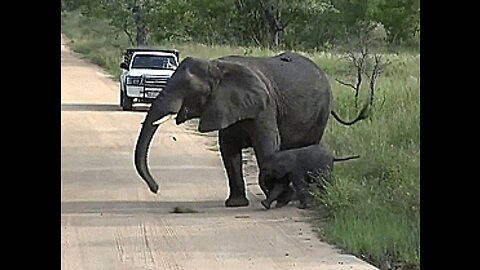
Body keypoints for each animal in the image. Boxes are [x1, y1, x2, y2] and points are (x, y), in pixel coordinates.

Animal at [133, 52, 366, 207]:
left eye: (188, 88)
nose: (155, 188)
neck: (217, 66)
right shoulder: (224, 107)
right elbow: (228, 150)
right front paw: (236, 204)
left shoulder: (264, 107)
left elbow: (266, 147)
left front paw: (281, 198)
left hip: (321, 110)